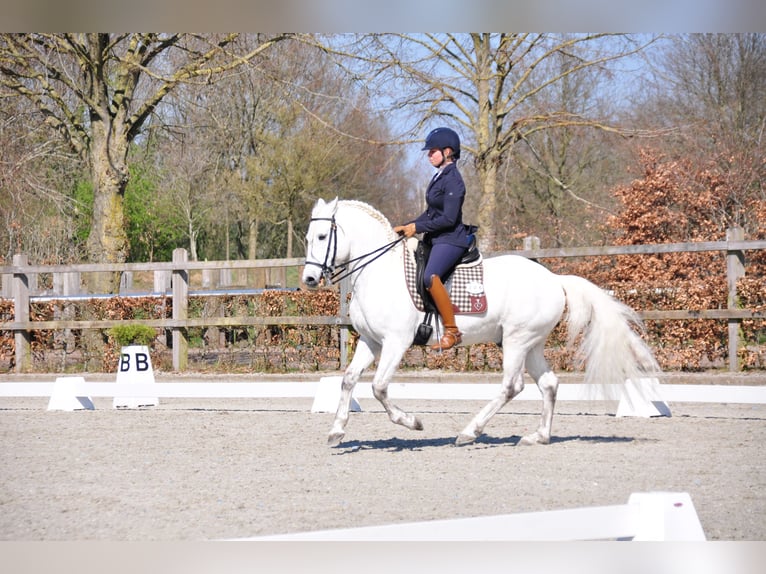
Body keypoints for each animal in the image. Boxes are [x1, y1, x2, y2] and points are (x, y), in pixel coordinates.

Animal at [302, 197, 660, 447]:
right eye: (307, 237)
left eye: (321, 236)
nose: (308, 279)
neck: (378, 272)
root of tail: (554, 279)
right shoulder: (372, 341)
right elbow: (348, 380)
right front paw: (336, 431)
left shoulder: (395, 342)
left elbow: (378, 387)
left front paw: (413, 422)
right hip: (531, 344)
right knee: (548, 384)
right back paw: (538, 436)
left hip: (516, 340)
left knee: (511, 386)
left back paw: (469, 432)